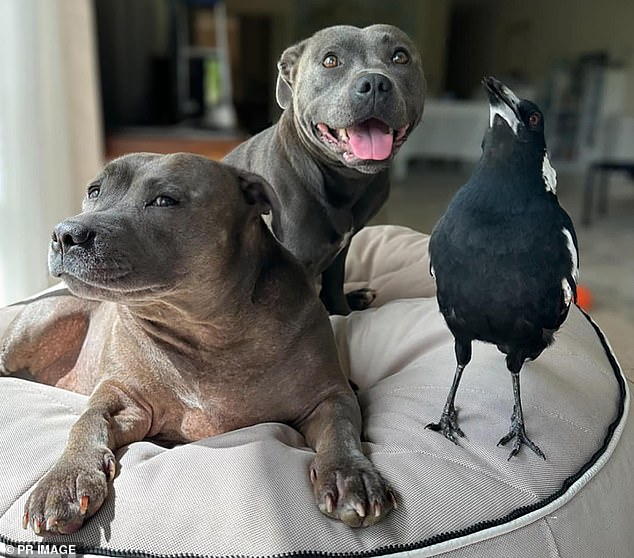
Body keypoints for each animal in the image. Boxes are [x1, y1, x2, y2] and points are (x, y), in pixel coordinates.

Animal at [0, 154, 396, 540]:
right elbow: (87, 421)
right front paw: (63, 480)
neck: (205, 331)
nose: (65, 233)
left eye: (164, 200)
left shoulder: (327, 395)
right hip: (41, 323)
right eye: (94, 191)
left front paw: (349, 475)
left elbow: (341, 426)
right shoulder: (121, 396)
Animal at [223, 25, 424, 316]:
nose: (374, 83)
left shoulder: (340, 253)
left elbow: (333, 286)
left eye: (400, 57)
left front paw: (343, 312)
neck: (343, 179)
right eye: (330, 61)